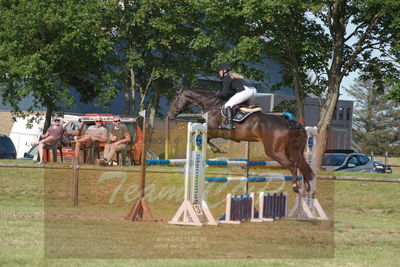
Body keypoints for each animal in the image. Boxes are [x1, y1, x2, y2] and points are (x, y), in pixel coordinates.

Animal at [167, 87, 314, 194]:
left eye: (175, 98)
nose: (169, 115)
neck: (212, 105)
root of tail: (288, 123)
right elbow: (206, 137)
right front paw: (216, 149)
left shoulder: (212, 128)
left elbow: (206, 137)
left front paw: (216, 149)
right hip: (294, 150)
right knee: (303, 166)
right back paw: (307, 189)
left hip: (274, 151)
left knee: (293, 166)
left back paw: (296, 187)